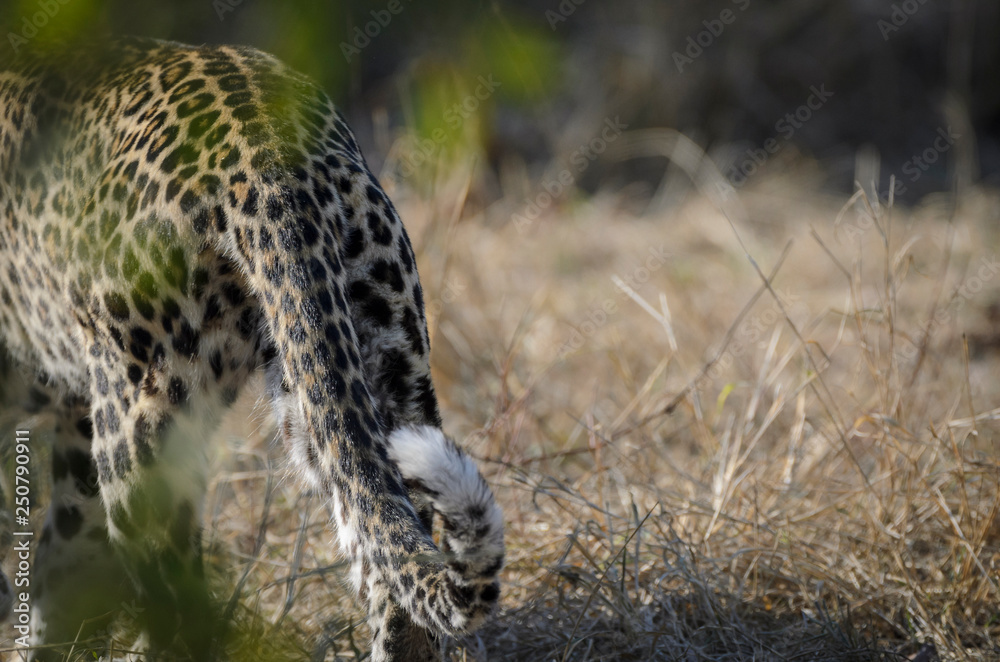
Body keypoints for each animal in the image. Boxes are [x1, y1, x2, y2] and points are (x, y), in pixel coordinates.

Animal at [0, 37, 504, 661]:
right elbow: (67, 563)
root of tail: (263, 157)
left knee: (180, 604)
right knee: (391, 567)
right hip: (364, 366)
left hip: (138, 418)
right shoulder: (74, 421)